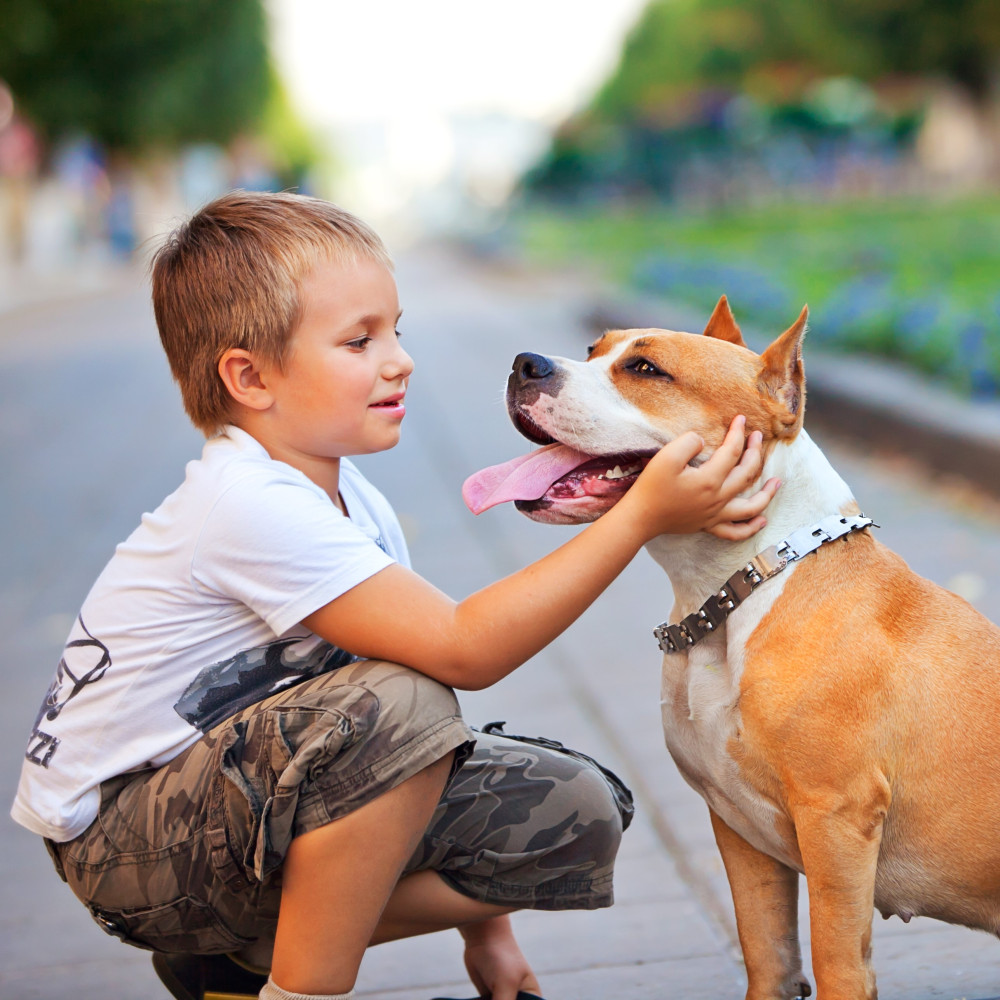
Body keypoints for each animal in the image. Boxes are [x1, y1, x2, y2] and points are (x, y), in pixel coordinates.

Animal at [464, 298, 1000, 1000]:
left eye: (646, 369)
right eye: (593, 349)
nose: (526, 364)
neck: (730, 597)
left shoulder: (836, 819)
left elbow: (836, 957)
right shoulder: (738, 828)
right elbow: (766, 952)